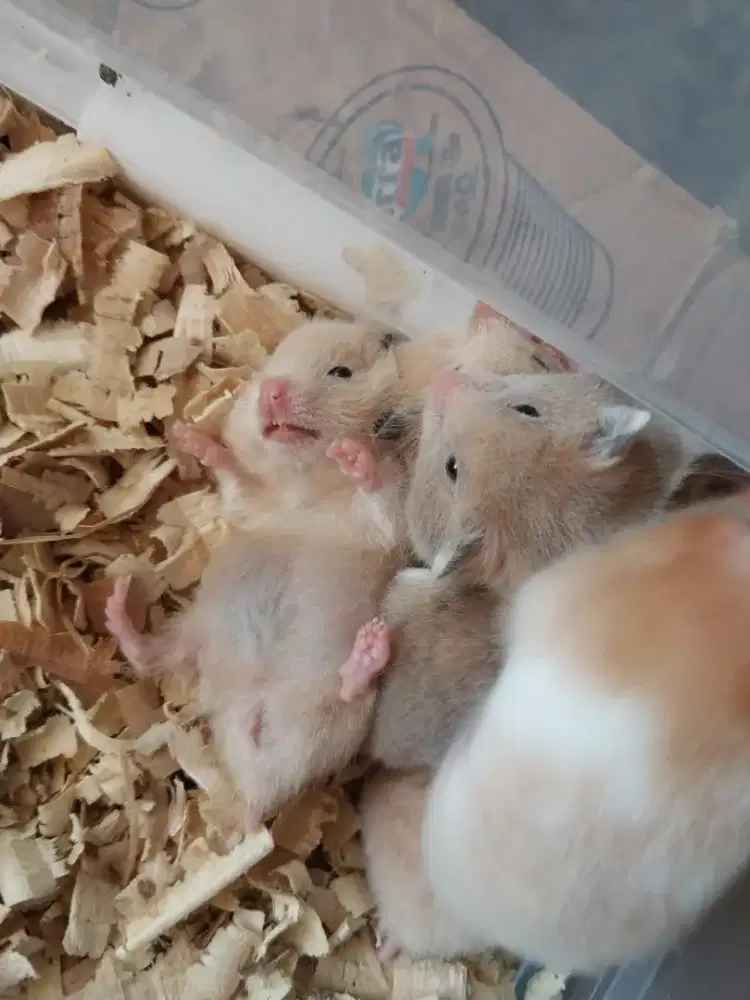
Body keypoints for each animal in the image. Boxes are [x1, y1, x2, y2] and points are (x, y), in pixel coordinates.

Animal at [105, 320, 417, 825]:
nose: (271, 391)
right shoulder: (253, 503)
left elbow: (380, 496)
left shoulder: (389, 518)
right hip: (198, 633)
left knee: (346, 693)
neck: (306, 485)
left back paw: (369, 650)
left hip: (343, 720)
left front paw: (354, 455)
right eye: (272, 366)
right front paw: (194, 440)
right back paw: (118, 610)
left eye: (341, 372)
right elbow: (236, 480)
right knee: (152, 657)